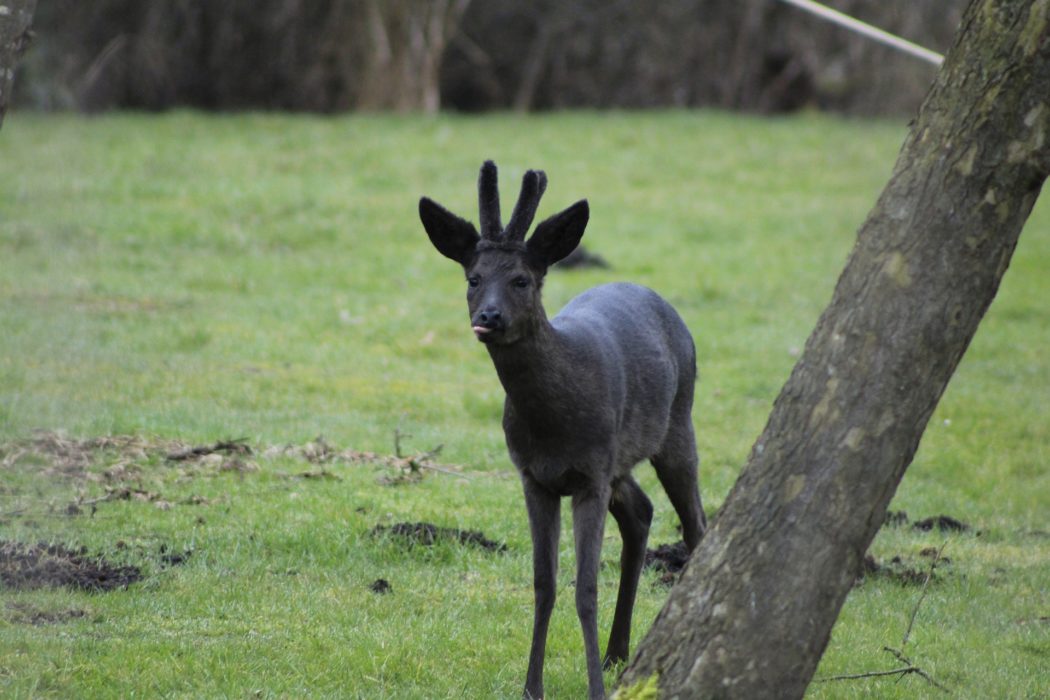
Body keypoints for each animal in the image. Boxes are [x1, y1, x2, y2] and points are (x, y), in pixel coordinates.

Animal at [419, 161, 707, 700]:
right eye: (472, 278)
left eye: (522, 279)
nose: (488, 317)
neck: (554, 421)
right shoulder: (534, 476)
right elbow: (544, 582)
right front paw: (532, 687)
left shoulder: (590, 474)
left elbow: (585, 587)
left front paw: (593, 688)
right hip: (620, 459)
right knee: (641, 511)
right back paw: (617, 653)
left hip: (678, 422)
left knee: (697, 524)